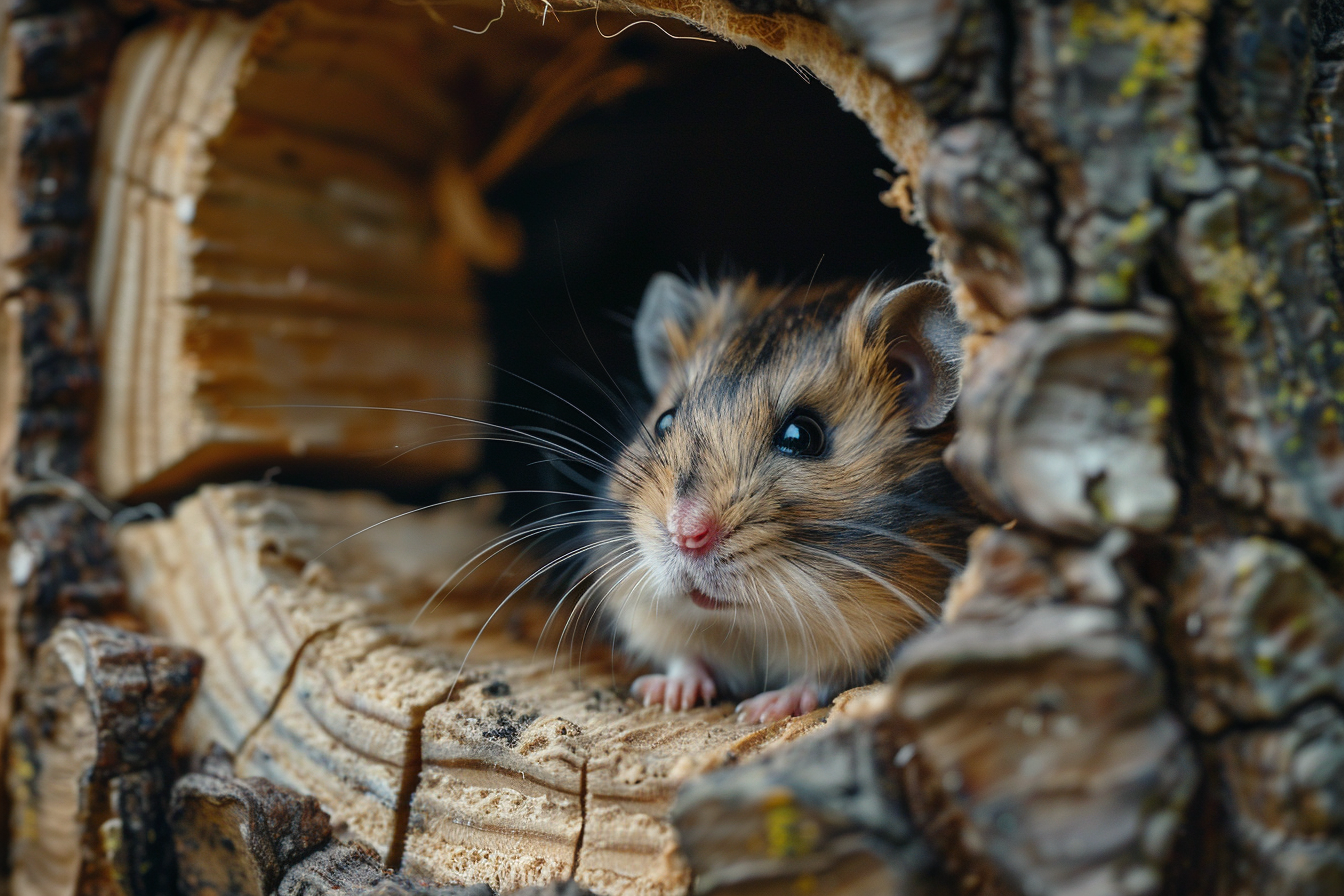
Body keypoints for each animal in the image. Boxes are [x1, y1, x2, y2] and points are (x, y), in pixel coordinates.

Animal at [592, 273, 975, 723]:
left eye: (802, 436)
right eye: (664, 422)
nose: (685, 535)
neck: (753, 627)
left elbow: (820, 678)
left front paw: (758, 711)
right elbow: (685, 655)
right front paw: (666, 694)